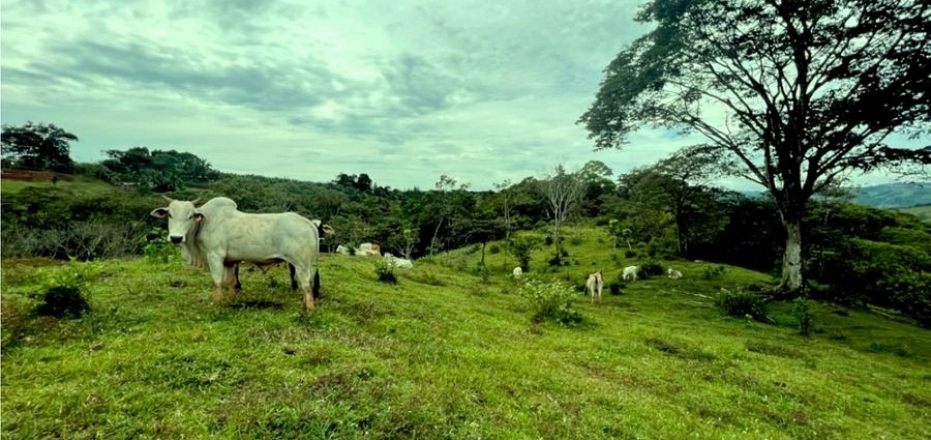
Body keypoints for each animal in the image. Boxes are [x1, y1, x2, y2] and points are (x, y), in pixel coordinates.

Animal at [154, 196, 324, 310]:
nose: (176, 238)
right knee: (308, 284)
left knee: (306, 285)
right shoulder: (229, 262)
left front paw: (216, 303)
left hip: (301, 264)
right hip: (308, 264)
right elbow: (231, 282)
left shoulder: (215, 256)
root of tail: (308, 222)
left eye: (190, 216)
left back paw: (309, 309)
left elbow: (217, 281)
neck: (204, 223)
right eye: (170, 215)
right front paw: (230, 300)